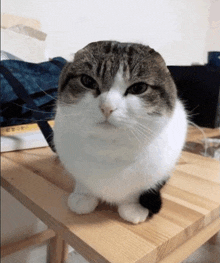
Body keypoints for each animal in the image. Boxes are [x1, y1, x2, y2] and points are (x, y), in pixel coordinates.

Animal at [53, 41, 187, 225]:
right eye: (87, 81)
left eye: (139, 87)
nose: (107, 107)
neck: (109, 150)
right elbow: (83, 182)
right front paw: (83, 196)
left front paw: (133, 207)